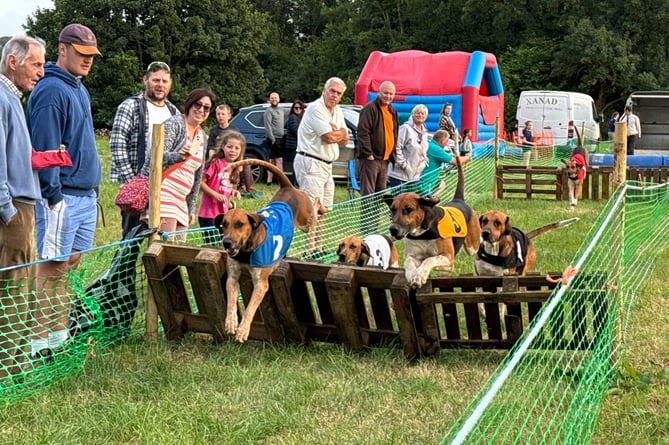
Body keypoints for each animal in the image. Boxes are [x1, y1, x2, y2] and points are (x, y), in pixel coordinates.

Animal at [214, 160, 326, 344]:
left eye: (239, 224)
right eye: (224, 224)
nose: (226, 242)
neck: (247, 250)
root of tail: (288, 186)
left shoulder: (261, 283)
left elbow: (251, 307)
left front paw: (243, 329)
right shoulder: (233, 277)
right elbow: (231, 300)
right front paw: (231, 322)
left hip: (306, 220)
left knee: (316, 208)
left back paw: (322, 208)